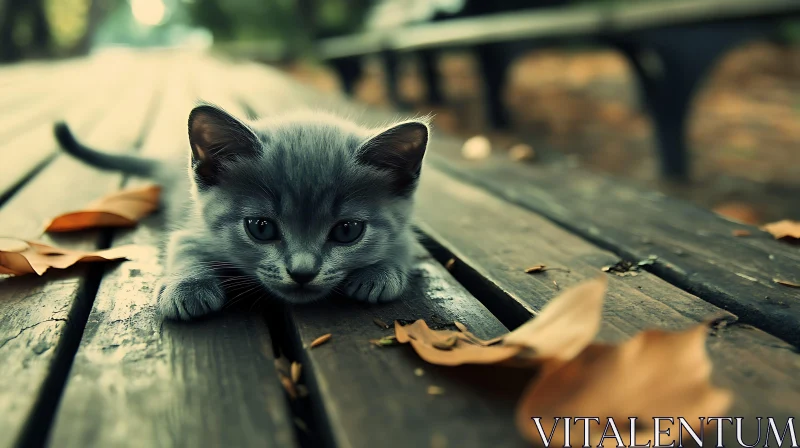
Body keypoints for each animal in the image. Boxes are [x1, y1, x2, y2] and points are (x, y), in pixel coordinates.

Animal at [54, 105, 432, 320]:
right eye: (260, 227)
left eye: (347, 230)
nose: (302, 273)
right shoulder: (192, 228)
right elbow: (183, 248)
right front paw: (187, 286)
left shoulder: (408, 232)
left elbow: (403, 247)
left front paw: (379, 274)